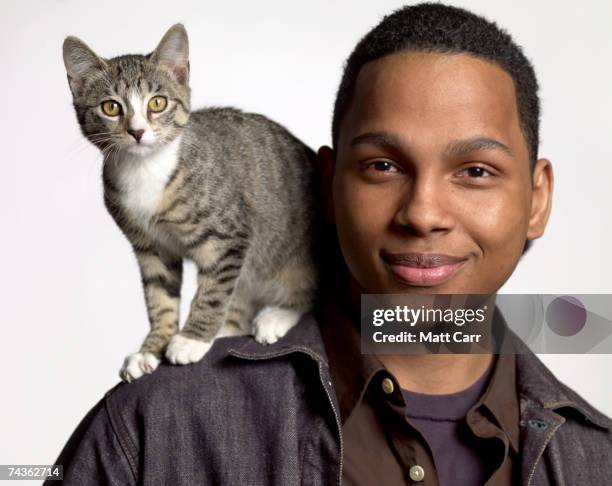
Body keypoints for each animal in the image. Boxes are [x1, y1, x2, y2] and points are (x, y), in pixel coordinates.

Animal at [61, 24, 320, 384]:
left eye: (158, 103)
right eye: (110, 107)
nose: (137, 131)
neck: (145, 170)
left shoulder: (230, 236)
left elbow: (212, 292)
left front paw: (190, 340)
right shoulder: (151, 248)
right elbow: (160, 299)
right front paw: (152, 349)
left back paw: (273, 318)